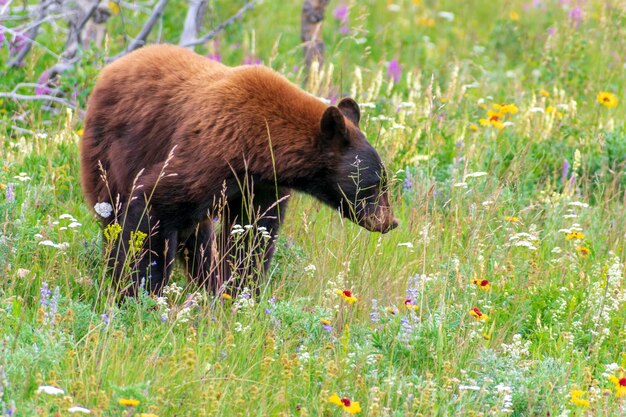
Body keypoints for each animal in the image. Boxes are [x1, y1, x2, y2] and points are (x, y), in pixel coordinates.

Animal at [80, 44, 398, 294]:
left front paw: (237, 289)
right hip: (111, 154)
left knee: (198, 236)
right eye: (374, 184)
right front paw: (138, 289)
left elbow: (251, 235)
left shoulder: (260, 186)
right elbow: (153, 204)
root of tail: (112, 67)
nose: (390, 221)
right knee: (116, 216)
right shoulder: (210, 153)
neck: (261, 144)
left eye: (385, 183)